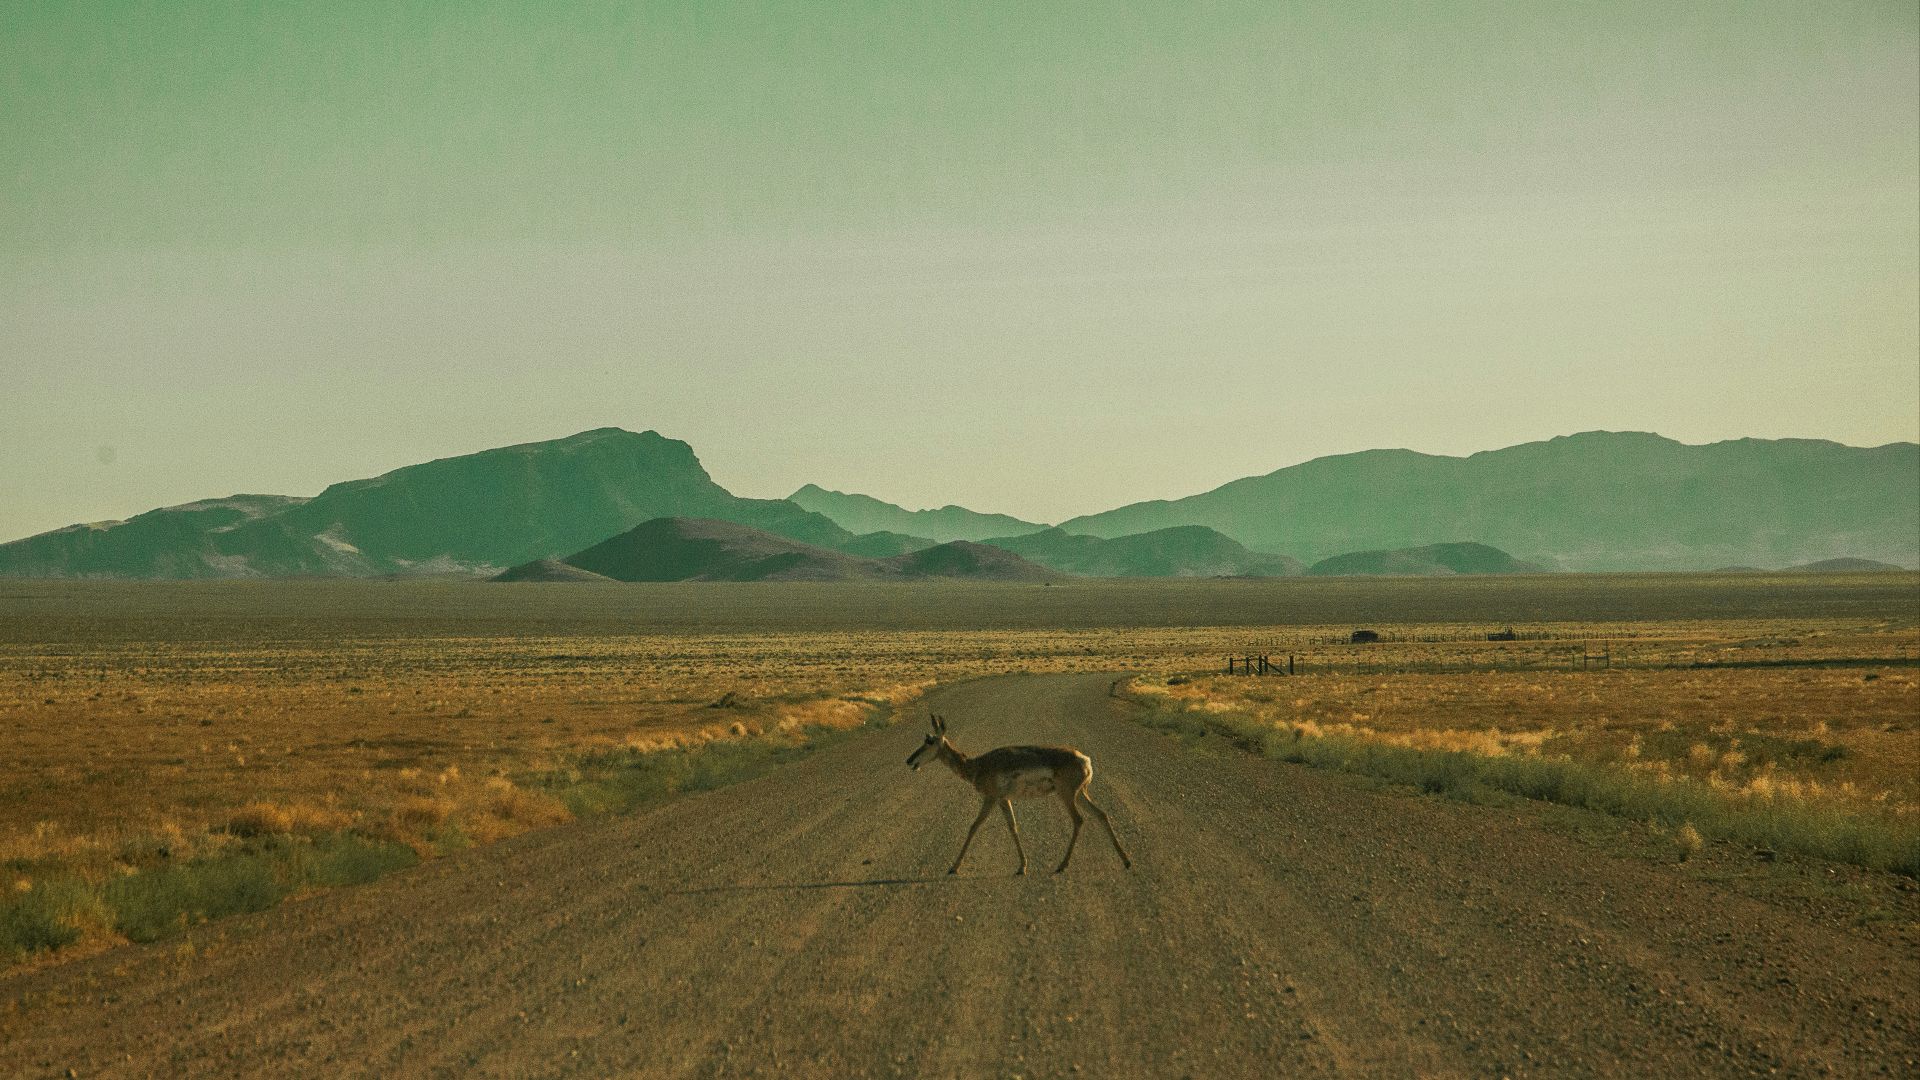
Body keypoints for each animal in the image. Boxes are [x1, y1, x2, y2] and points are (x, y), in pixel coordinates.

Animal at [906, 713, 1132, 875]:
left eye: (929, 741)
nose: (909, 760)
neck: (978, 765)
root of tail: (1085, 759)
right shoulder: (1004, 800)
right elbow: (1013, 827)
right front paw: (1022, 866)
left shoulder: (991, 798)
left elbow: (974, 827)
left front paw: (954, 867)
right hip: (1080, 794)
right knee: (1101, 814)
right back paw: (1126, 860)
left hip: (1067, 795)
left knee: (1079, 820)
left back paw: (1062, 864)